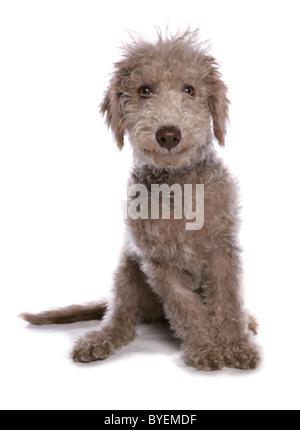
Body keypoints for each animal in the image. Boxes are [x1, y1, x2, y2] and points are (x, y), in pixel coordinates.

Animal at [21, 30, 260, 372]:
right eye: (144, 90)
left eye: (189, 90)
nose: (168, 134)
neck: (177, 187)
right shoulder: (159, 262)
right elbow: (186, 308)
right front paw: (205, 349)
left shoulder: (222, 250)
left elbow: (227, 301)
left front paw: (236, 346)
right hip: (126, 271)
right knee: (120, 316)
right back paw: (100, 339)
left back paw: (247, 322)